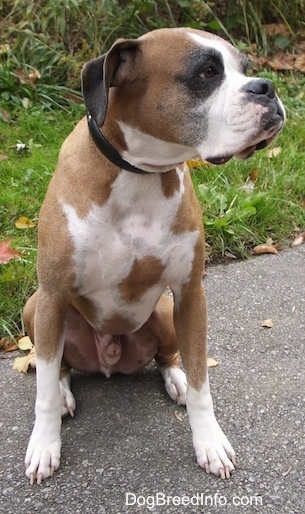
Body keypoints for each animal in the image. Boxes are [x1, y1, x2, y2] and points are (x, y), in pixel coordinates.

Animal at [22, 27, 284, 484]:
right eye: (206, 73)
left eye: (245, 68)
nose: (266, 87)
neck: (138, 174)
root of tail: (108, 360)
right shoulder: (52, 297)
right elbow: (44, 392)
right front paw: (44, 445)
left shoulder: (190, 294)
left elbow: (202, 384)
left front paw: (209, 442)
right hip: (35, 308)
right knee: (59, 368)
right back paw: (65, 391)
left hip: (162, 311)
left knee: (169, 358)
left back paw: (174, 379)